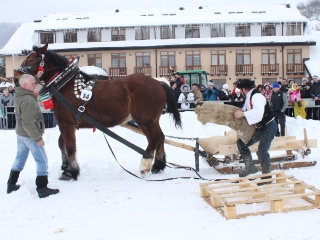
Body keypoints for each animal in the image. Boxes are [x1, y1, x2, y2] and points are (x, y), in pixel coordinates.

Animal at [13, 44, 181, 181]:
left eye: (31, 59)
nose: (16, 79)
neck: (64, 84)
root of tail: (159, 83)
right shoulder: (64, 122)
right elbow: (62, 143)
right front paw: (65, 166)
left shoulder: (66, 122)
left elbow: (70, 146)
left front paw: (71, 172)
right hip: (153, 120)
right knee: (161, 137)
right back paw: (158, 165)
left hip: (144, 120)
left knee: (154, 138)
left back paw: (145, 165)